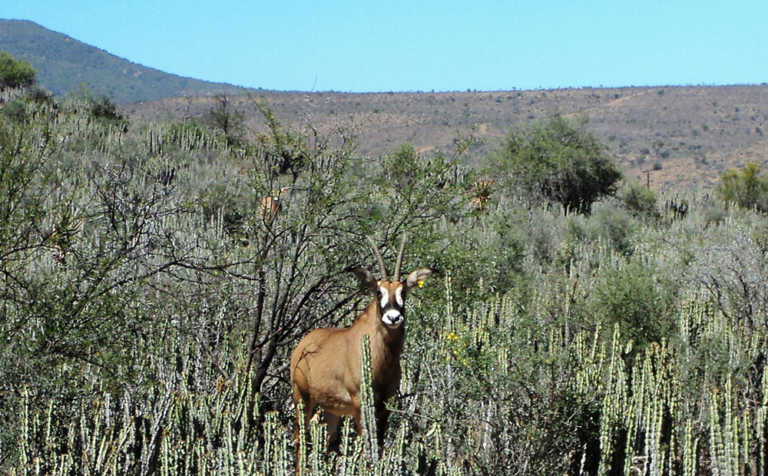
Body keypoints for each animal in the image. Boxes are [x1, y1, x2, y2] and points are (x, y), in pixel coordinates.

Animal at [290, 235, 432, 462]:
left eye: (403, 292)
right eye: (378, 292)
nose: (393, 317)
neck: (382, 356)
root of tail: (303, 345)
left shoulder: (385, 406)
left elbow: (378, 449)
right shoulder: (360, 403)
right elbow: (368, 450)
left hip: (332, 410)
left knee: (326, 443)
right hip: (302, 397)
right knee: (300, 441)